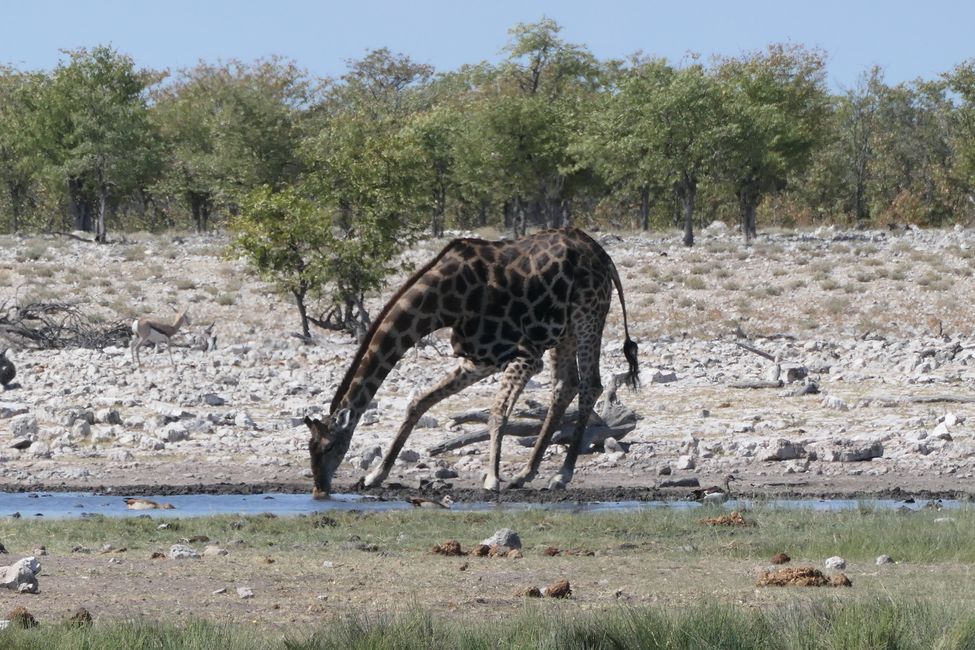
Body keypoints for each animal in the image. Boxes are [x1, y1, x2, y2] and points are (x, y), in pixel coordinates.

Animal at [306, 225, 640, 498]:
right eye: (311, 448)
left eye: (329, 446)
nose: (320, 488)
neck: (443, 301)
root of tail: (604, 256)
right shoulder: (480, 358)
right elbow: (419, 402)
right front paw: (376, 475)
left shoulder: (525, 354)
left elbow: (497, 413)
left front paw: (492, 478)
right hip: (564, 330)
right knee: (566, 385)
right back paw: (525, 474)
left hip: (588, 315)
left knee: (590, 386)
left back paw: (561, 475)